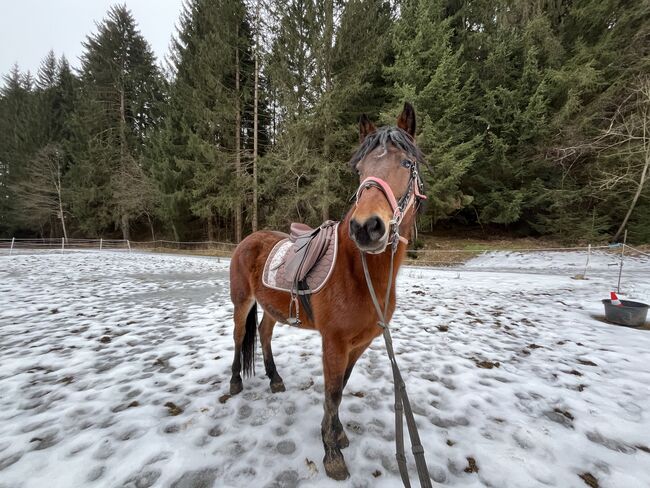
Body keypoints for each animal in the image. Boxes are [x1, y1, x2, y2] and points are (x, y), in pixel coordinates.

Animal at [228, 102, 426, 480]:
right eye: (361, 169)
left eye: (407, 163)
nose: (366, 227)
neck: (358, 274)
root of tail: (249, 238)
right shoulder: (334, 343)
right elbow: (333, 393)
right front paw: (332, 453)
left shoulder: (359, 344)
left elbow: (341, 388)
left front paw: (336, 434)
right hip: (242, 301)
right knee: (239, 336)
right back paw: (235, 384)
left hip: (272, 308)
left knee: (263, 332)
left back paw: (275, 379)